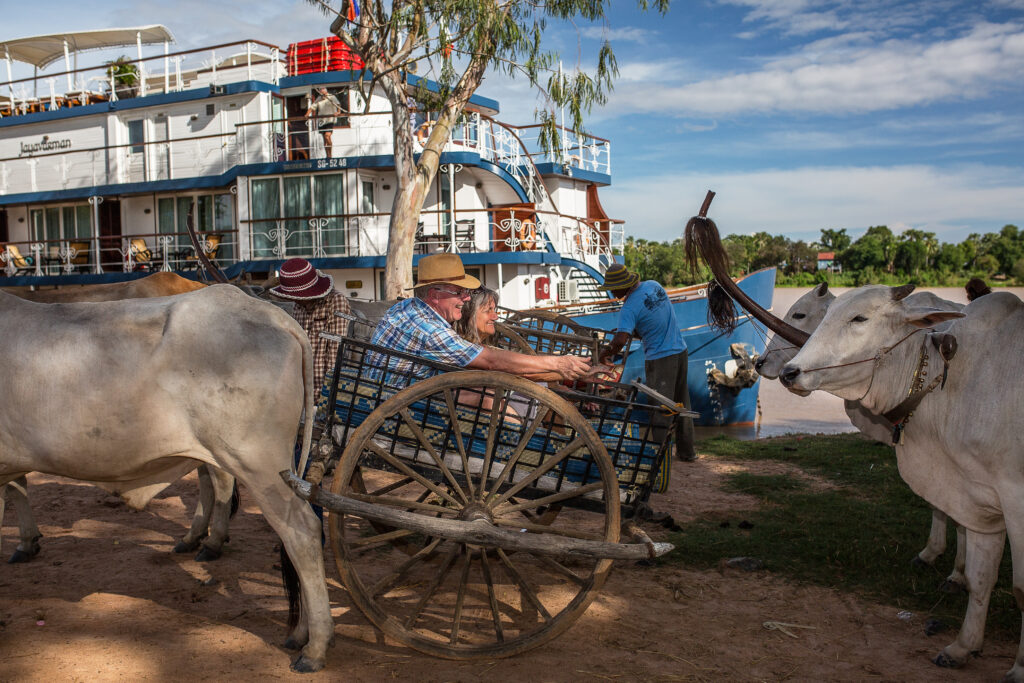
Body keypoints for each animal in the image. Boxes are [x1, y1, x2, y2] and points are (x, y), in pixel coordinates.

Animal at [0, 284, 331, 671]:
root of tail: (272, 313)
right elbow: (18, 488)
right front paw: (27, 541)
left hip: (258, 465)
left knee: (301, 534)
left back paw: (315, 646)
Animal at [778, 282, 1019, 679]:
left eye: (859, 318)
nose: (788, 372)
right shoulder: (978, 499)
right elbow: (981, 578)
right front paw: (963, 646)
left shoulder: (1013, 502)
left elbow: (1019, 587)